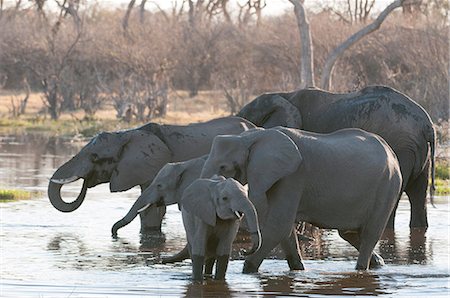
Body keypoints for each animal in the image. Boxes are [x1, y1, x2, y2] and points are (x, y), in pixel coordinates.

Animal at [202, 127, 402, 272]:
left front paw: (248, 270)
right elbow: (285, 229)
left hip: (388, 186)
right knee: (349, 233)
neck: (253, 136)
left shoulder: (293, 175)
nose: (244, 250)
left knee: (370, 233)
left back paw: (362, 268)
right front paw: (298, 270)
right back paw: (378, 264)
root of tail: (391, 152)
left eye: (223, 167)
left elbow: (279, 225)